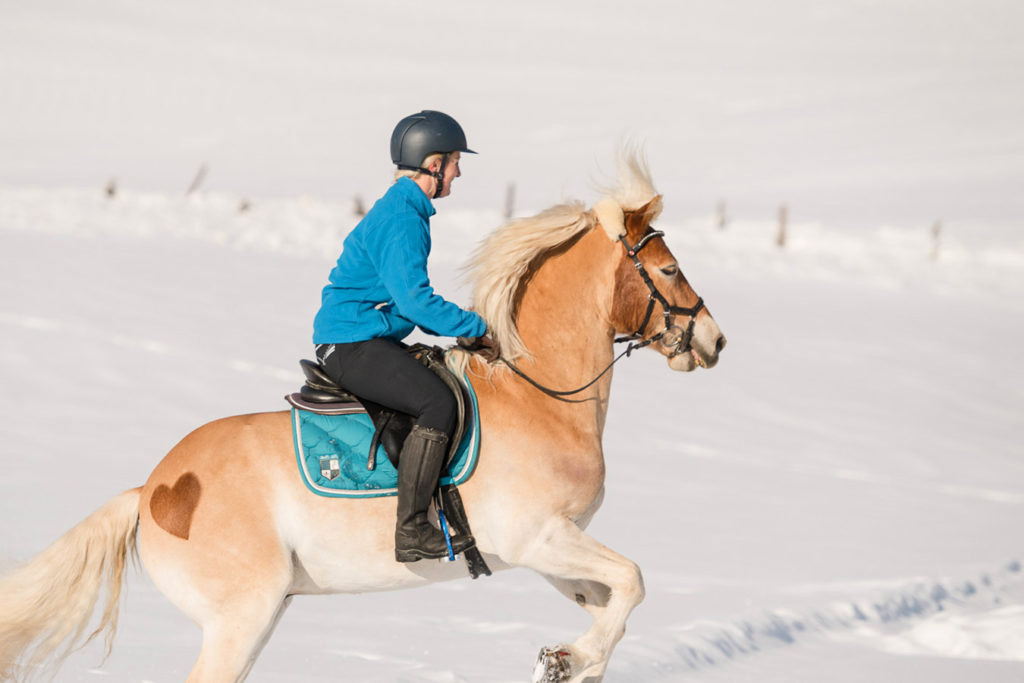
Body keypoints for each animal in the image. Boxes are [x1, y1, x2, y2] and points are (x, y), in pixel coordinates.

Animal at [0, 152, 729, 679]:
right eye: (668, 267)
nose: (715, 341)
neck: (539, 395)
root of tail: (154, 489)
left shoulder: (542, 550)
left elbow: (613, 598)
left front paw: (566, 658)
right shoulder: (537, 537)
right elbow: (633, 580)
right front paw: (574, 658)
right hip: (242, 617)